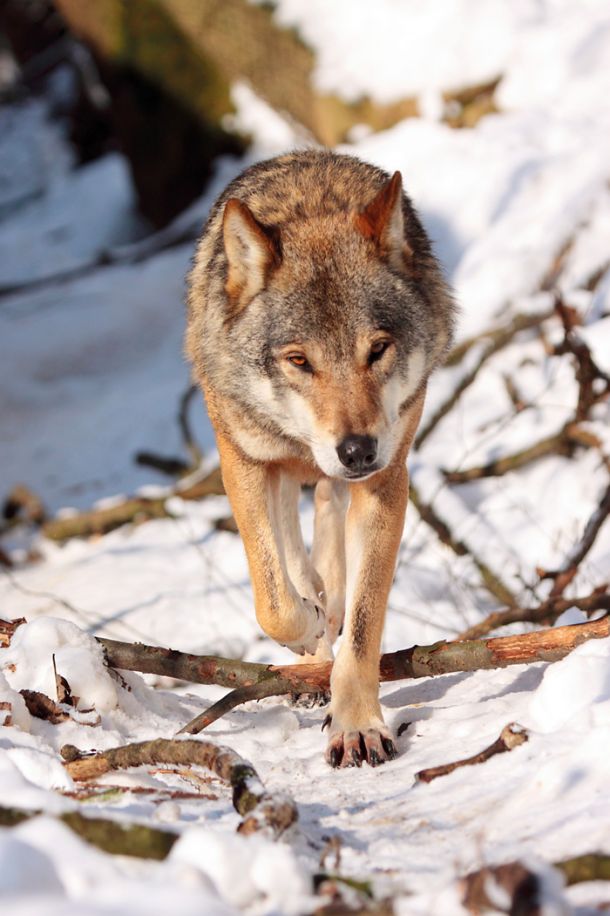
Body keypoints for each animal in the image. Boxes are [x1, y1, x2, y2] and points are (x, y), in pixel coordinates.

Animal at [185, 148, 452, 764]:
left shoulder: (387, 479)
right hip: (274, 471)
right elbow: (273, 600)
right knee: (293, 547)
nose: (357, 450)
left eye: (377, 349)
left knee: (329, 526)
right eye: (299, 360)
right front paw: (306, 629)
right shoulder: (243, 462)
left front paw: (356, 723)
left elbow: (363, 623)